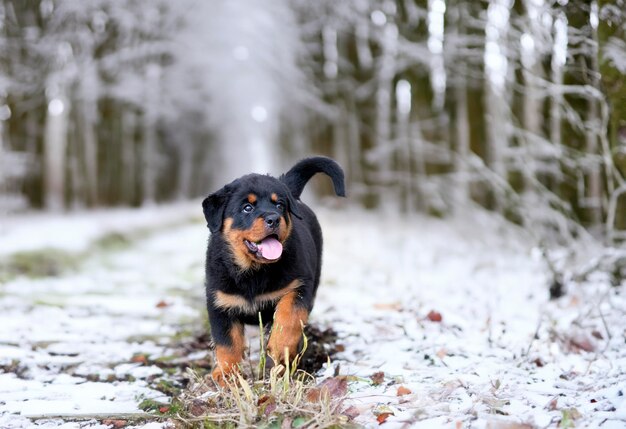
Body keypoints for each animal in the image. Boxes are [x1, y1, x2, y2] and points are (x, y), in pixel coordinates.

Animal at [201, 155, 344, 382]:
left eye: (279, 205)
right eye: (247, 208)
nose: (273, 218)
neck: (253, 271)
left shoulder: (298, 286)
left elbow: (289, 316)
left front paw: (279, 347)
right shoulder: (220, 302)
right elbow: (227, 343)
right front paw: (226, 375)